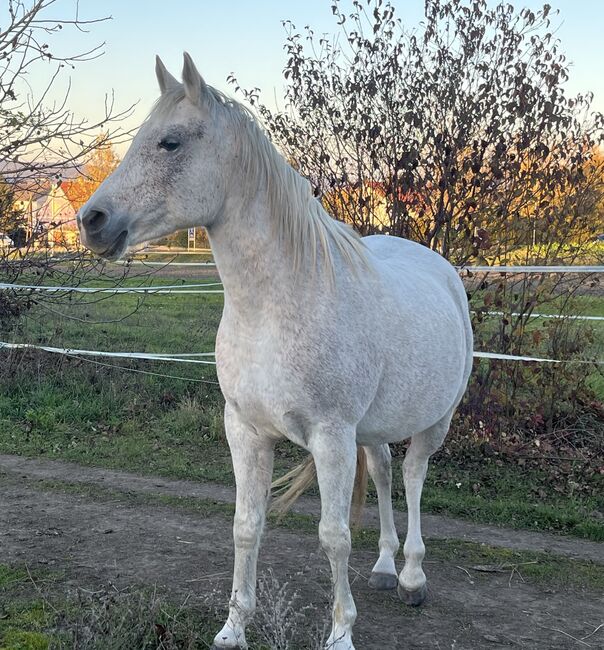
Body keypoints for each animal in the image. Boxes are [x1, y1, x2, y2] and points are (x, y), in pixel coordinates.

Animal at [80, 54, 474, 648]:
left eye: (170, 143)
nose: (91, 222)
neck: (275, 306)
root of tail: (442, 271)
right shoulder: (245, 430)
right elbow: (246, 526)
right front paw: (233, 629)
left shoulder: (332, 437)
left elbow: (334, 535)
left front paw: (341, 634)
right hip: (375, 427)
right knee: (385, 472)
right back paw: (385, 567)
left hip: (435, 421)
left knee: (412, 476)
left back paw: (411, 576)